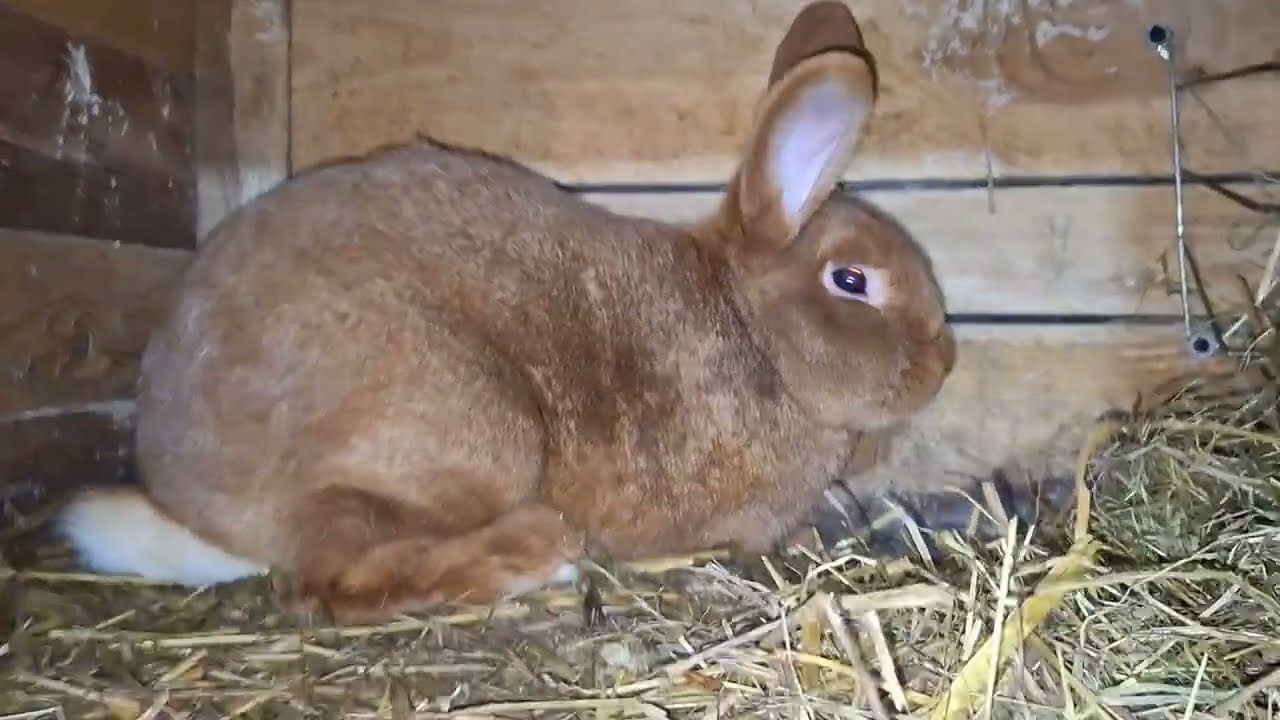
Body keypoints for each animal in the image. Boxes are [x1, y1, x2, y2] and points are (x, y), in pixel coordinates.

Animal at [56, 0, 956, 623]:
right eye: (851, 281)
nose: (944, 363)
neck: (752, 333)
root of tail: (189, 497)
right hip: (472, 432)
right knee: (326, 580)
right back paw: (535, 551)